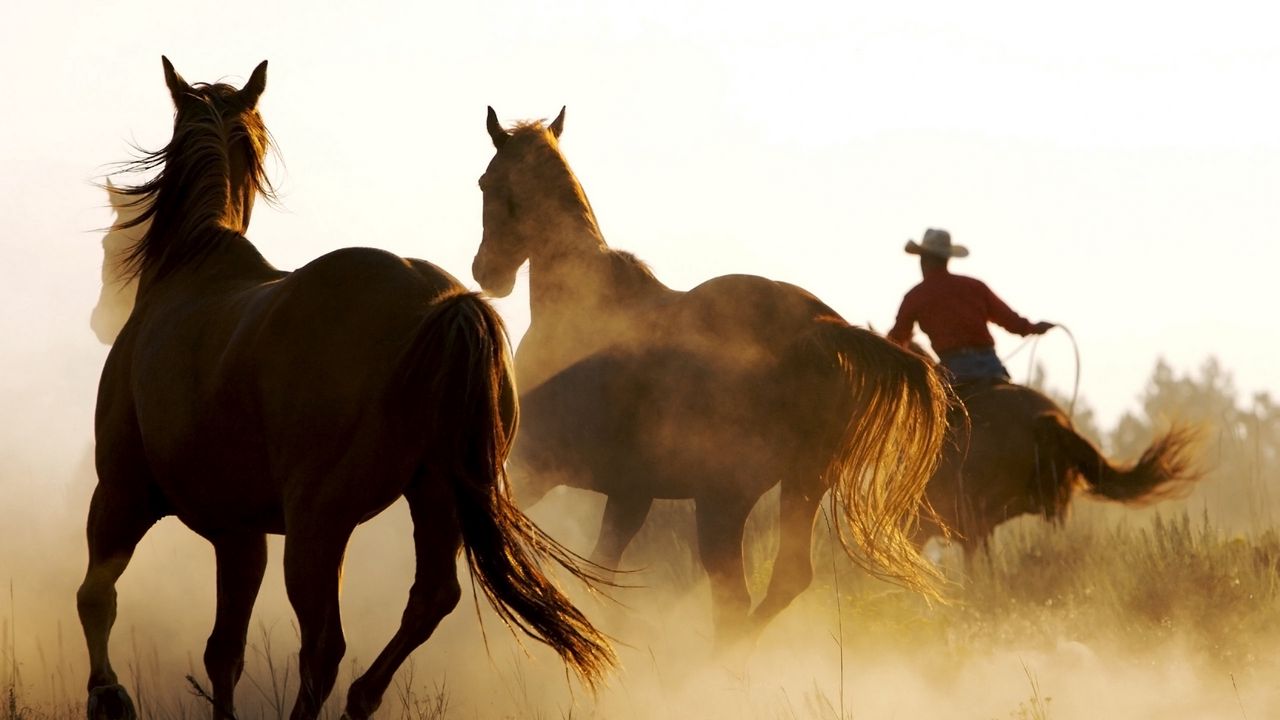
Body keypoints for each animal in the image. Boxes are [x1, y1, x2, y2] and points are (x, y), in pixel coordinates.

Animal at [78, 58, 614, 717]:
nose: (100, 316)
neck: (190, 268)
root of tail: (445, 305)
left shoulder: (120, 495)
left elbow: (96, 597)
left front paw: (108, 694)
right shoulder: (240, 534)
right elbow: (223, 652)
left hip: (318, 526)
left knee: (324, 647)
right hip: (434, 499)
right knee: (427, 601)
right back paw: (364, 697)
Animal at [471, 107, 952, 645]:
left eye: (486, 182)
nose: (487, 272)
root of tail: (819, 329)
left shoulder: (534, 466)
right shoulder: (630, 493)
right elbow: (603, 570)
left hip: (724, 500)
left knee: (735, 598)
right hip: (800, 484)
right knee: (782, 582)